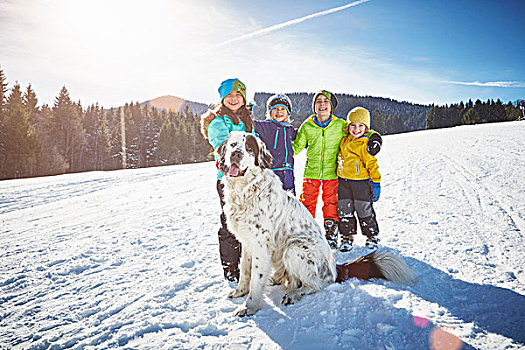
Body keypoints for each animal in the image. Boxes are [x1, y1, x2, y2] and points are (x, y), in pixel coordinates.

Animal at [216, 132, 414, 318]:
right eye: (233, 144)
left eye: (249, 147)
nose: (236, 154)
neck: (245, 191)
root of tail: (335, 269)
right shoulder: (247, 242)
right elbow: (245, 272)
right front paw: (240, 292)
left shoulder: (261, 245)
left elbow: (256, 280)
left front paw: (249, 307)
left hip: (294, 248)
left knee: (315, 284)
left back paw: (294, 294)